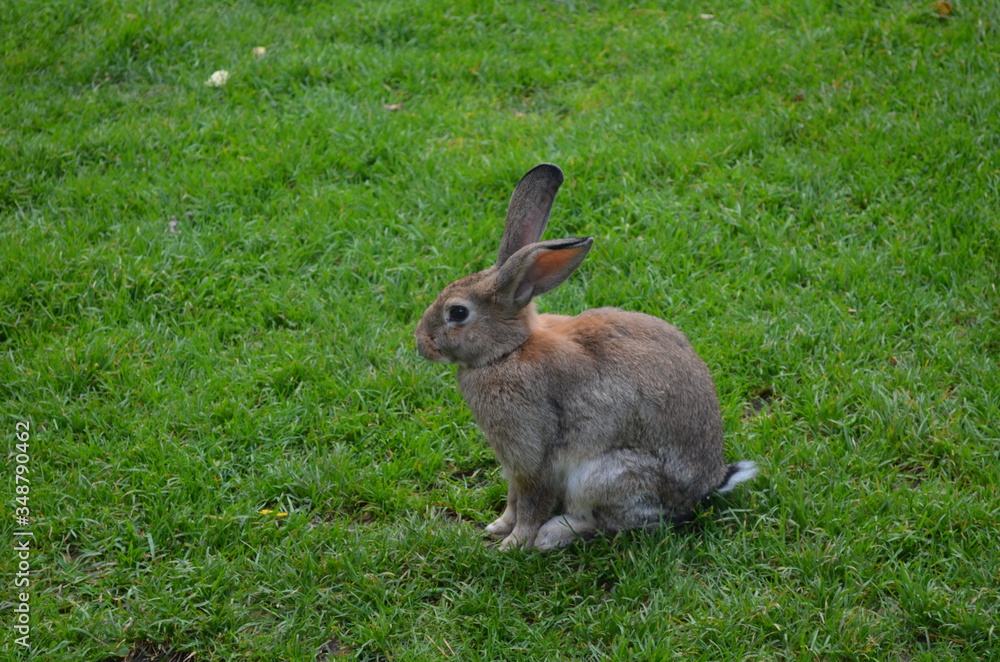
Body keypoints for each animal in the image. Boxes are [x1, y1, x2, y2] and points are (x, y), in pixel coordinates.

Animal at [414, 165, 756, 548]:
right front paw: (497, 527)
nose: (420, 343)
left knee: (603, 521)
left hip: (604, 476)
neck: (509, 351)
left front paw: (512, 545)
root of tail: (704, 489)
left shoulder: (532, 454)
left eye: (457, 313)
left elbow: (530, 502)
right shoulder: (515, 465)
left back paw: (551, 536)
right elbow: (513, 498)